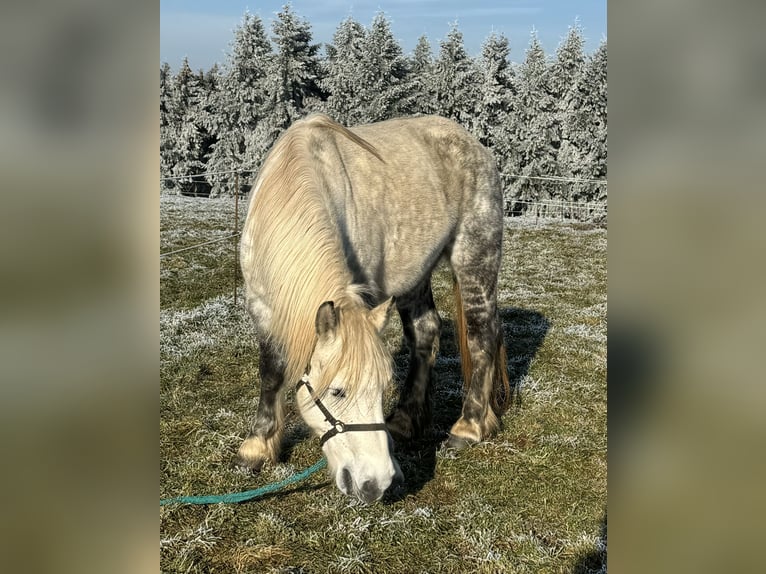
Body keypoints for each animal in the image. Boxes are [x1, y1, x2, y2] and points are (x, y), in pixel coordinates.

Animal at [238, 112, 510, 504]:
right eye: (337, 391)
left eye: (381, 388)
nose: (376, 484)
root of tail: (474, 146)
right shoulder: (261, 306)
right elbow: (271, 372)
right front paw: (258, 446)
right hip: (415, 274)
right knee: (425, 334)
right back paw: (405, 421)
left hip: (475, 258)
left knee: (480, 337)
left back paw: (468, 427)